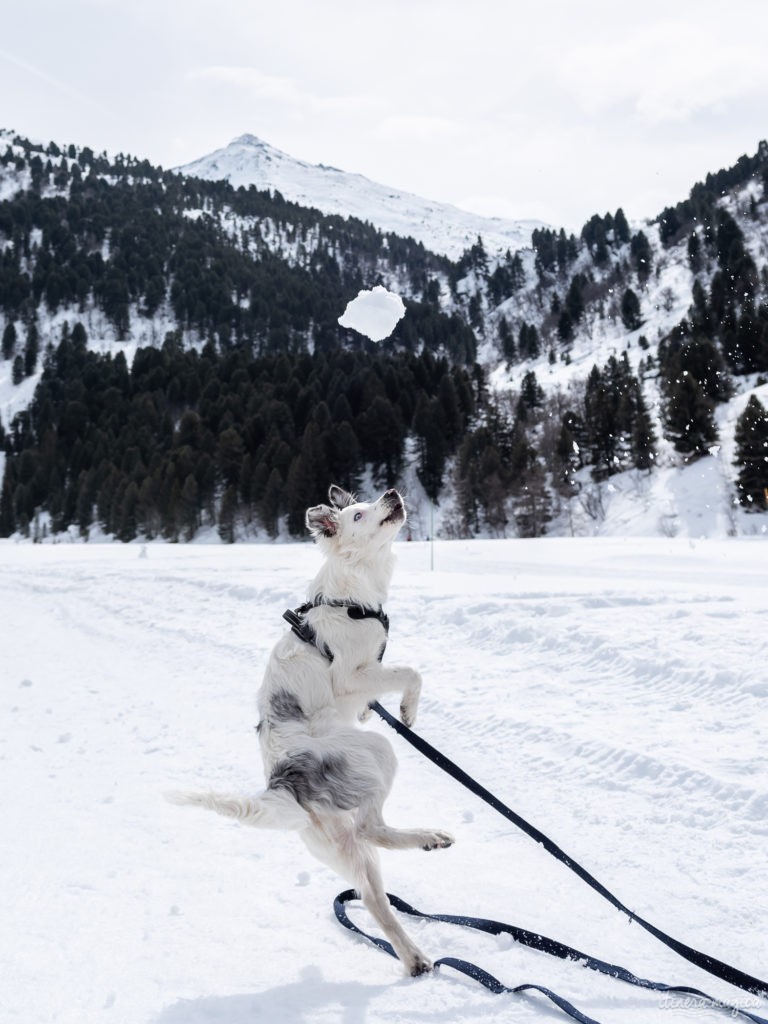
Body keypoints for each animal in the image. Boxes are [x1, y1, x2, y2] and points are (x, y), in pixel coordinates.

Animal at [171, 487, 454, 974]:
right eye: (358, 513)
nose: (392, 493)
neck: (350, 595)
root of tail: (284, 783)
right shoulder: (354, 675)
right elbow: (410, 673)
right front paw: (407, 709)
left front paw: (373, 711)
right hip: (375, 755)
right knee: (371, 828)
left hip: (345, 847)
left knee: (375, 898)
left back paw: (415, 950)